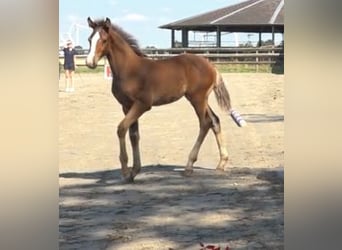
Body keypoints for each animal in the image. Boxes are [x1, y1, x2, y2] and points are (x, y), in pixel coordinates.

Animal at [85, 17, 238, 182]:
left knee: (205, 123)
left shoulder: (143, 104)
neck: (130, 70)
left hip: (197, 99)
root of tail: (212, 66)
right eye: (89, 39)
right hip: (201, 99)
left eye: (104, 40)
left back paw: (189, 166)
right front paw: (134, 171)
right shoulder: (126, 106)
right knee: (215, 120)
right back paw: (221, 163)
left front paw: (126, 172)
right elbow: (134, 135)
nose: (89, 62)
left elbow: (121, 128)